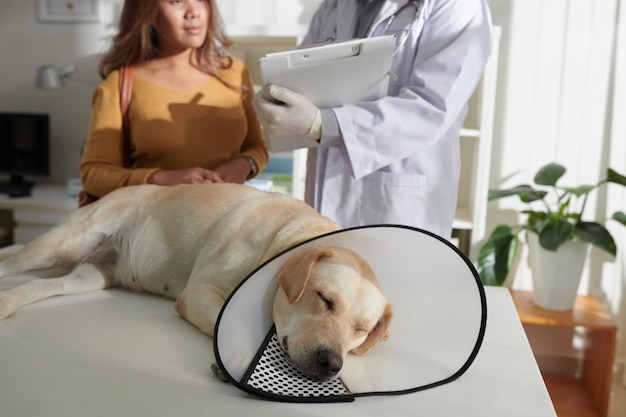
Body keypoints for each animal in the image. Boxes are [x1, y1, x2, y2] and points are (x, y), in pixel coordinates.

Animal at [0, 184, 390, 382]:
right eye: (324, 299)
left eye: (361, 330)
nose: (331, 364)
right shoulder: (200, 294)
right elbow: (222, 319)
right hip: (57, 246)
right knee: (12, 261)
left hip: (88, 276)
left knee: (37, 285)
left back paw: (8, 302)